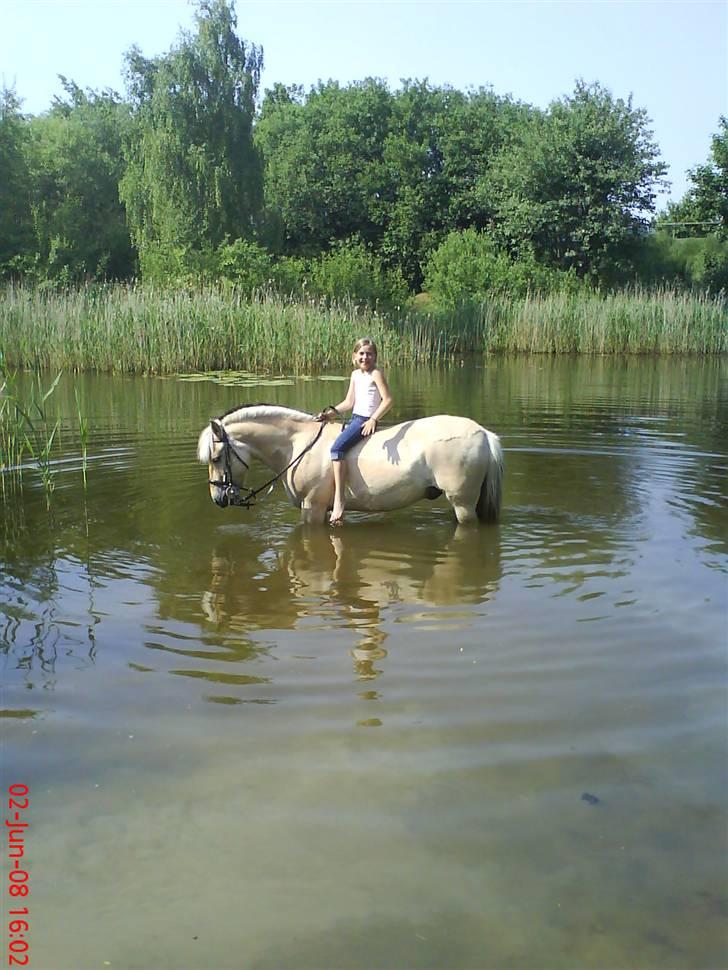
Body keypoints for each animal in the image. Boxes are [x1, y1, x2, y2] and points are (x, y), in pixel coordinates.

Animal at [198, 402, 506, 524]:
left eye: (215, 457)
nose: (217, 498)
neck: (297, 445)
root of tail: (483, 433)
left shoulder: (312, 508)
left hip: (462, 503)